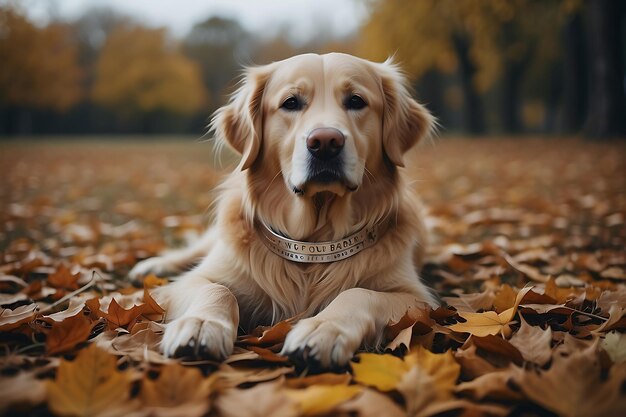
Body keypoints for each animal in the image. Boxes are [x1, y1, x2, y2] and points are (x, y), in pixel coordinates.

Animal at [129, 52, 436, 368]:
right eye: (291, 103)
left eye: (356, 101)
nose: (325, 142)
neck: (314, 240)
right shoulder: (196, 280)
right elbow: (215, 288)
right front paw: (201, 325)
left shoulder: (418, 301)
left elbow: (359, 293)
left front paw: (322, 329)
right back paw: (153, 265)